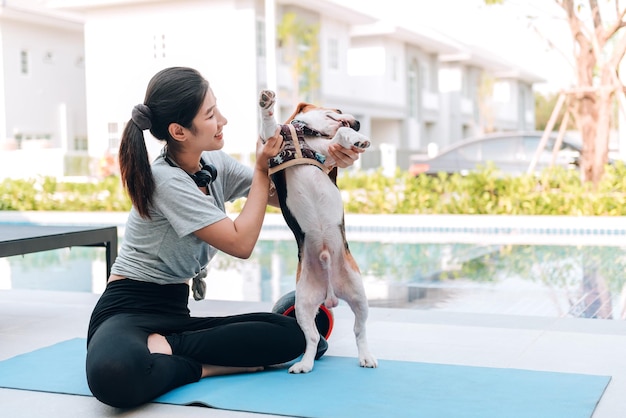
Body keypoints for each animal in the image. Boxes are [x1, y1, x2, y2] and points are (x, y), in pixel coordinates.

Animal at [255, 90, 372, 372]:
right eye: (338, 109)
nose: (358, 124)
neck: (304, 134)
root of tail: (329, 293)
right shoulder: (271, 139)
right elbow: (268, 122)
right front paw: (266, 103)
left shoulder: (326, 155)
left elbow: (340, 137)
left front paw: (357, 139)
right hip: (303, 305)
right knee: (311, 338)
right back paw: (304, 364)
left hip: (359, 296)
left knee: (359, 331)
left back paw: (366, 357)